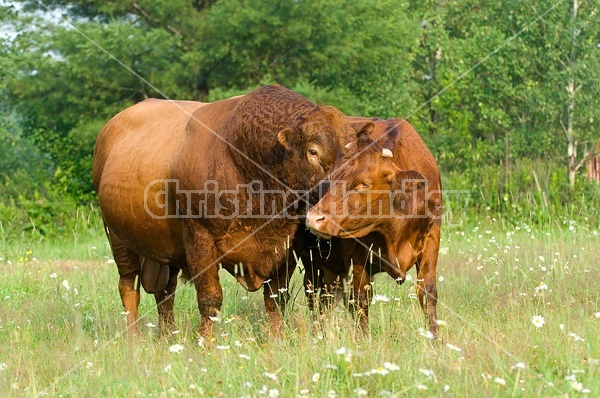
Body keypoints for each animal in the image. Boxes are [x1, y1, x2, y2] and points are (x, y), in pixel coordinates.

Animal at [92, 85, 370, 338]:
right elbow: (210, 299)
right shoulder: (200, 240)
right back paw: (133, 339)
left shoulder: (286, 245)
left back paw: (166, 337)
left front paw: (276, 340)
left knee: (165, 293)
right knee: (129, 287)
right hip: (117, 237)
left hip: (163, 252)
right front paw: (207, 344)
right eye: (313, 152)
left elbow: (276, 298)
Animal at [304, 117, 440, 336]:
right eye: (331, 178)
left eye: (364, 184)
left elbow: (428, 294)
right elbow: (361, 299)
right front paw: (363, 338)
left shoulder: (432, 239)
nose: (313, 218)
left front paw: (435, 338)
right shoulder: (357, 252)